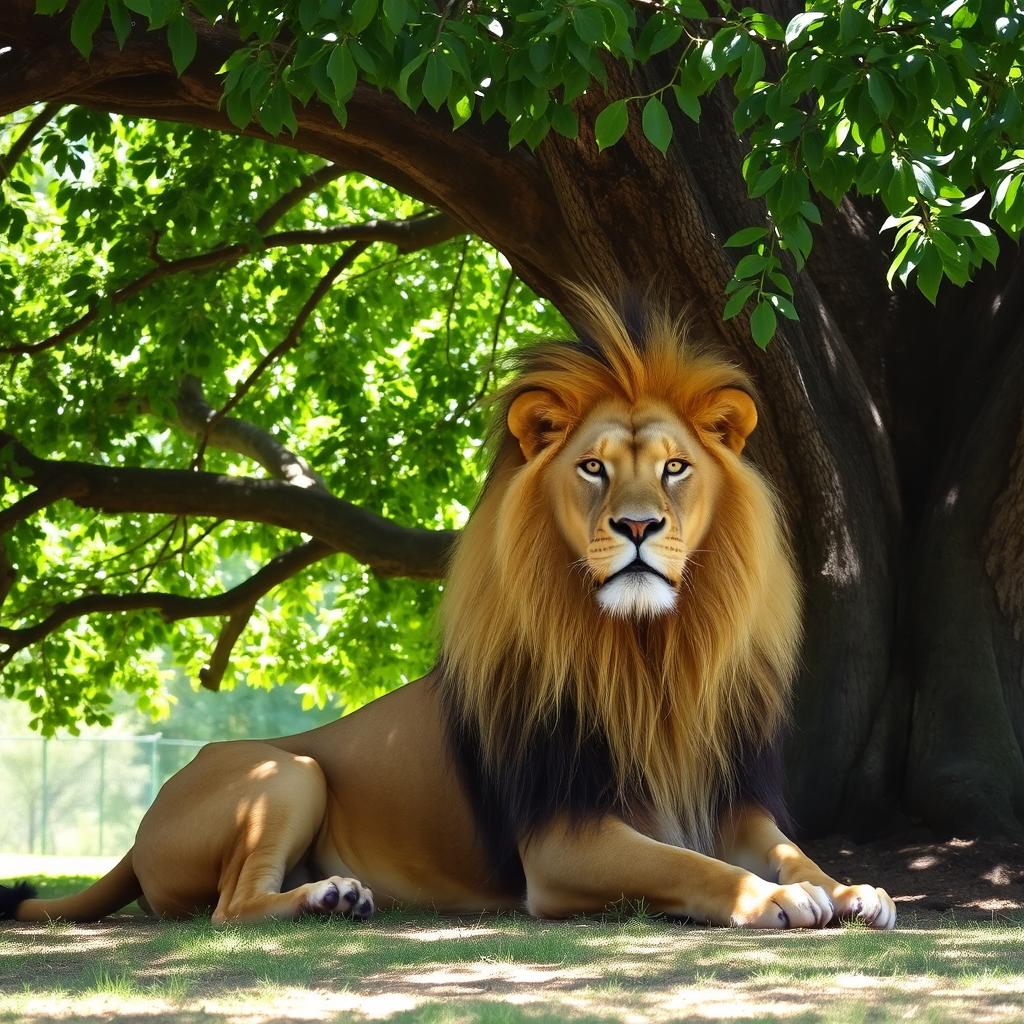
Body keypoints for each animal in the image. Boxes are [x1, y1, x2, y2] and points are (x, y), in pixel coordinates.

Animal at [0, 290, 895, 929]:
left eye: (676, 467)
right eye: (594, 469)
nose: (638, 526)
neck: (653, 653)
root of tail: (141, 828)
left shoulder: (733, 801)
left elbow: (792, 851)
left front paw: (852, 888)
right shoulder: (562, 842)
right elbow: (690, 866)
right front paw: (767, 899)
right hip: (285, 772)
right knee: (229, 907)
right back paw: (329, 898)